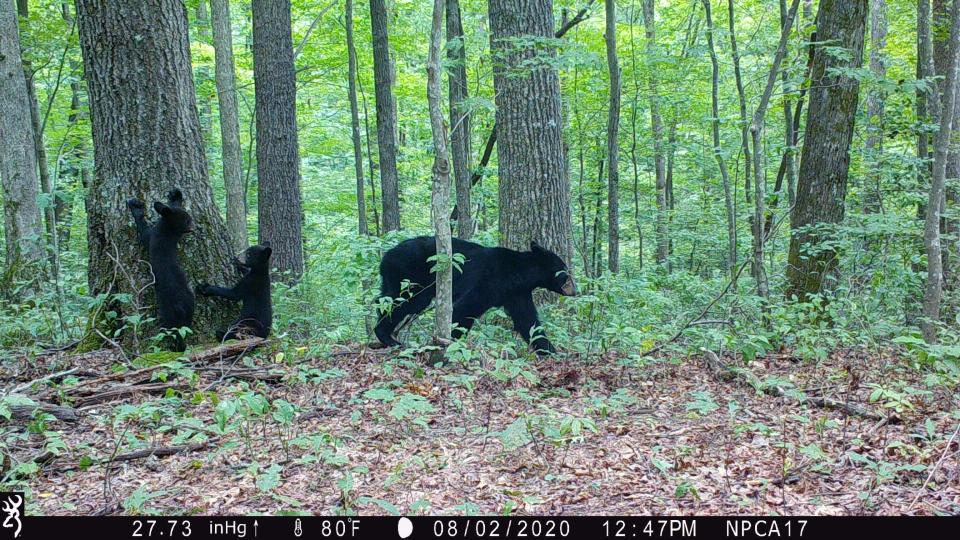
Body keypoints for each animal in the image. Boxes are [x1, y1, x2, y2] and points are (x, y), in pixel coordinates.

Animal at [127, 188, 195, 352]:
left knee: (176, 331)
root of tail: (180, 306)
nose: (194, 227)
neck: (166, 229)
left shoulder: (151, 237)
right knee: (184, 329)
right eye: (187, 219)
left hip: (171, 312)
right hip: (189, 307)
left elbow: (143, 232)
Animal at [372, 235, 572, 354]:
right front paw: (452, 343)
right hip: (409, 277)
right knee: (404, 302)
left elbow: (528, 321)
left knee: (384, 299)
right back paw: (387, 337)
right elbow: (465, 308)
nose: (575, 289)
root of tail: (385, 256)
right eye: (565, 272)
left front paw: (551, 351)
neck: (518, 274)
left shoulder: (517, 293)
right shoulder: (489, 282)